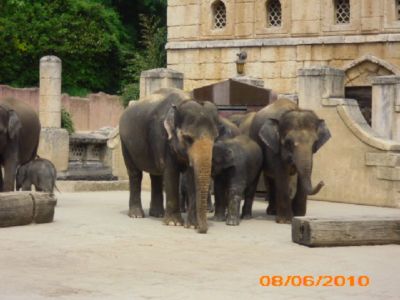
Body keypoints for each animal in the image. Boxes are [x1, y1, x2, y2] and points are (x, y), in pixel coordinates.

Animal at [119, 88, 219, 233]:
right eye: (188, 138)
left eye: (215, 138)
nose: (202, 230)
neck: (182, 102)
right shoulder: (162, 138)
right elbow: (171, 172)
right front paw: (174, 223)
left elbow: (191, 175)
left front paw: (192, 225)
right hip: (125, 143)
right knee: (135, 174)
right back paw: (136, 215)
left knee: (156, 176)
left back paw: (158, 214)